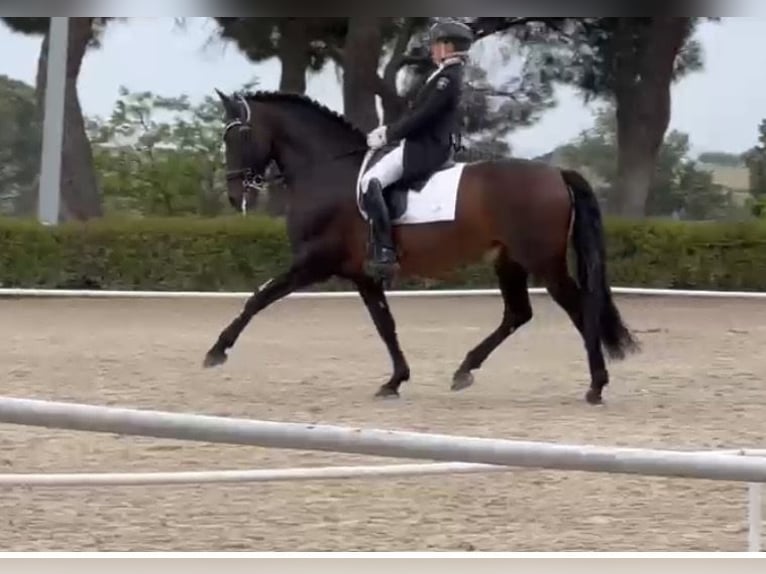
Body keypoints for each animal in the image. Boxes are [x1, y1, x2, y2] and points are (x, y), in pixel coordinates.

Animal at [202, 89, 639, 405]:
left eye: (240, 134)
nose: (234, 194)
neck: (328, 172)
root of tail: (556, 172)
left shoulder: (313, 263)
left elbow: (259, 298)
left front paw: (217, 351)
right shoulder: (363, 274)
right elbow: (385, 325)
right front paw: (395, 381)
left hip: (544, 262)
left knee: (579, 307)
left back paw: (596, 385)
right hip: (509, 260)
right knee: (518, 313)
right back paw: (465, 370)